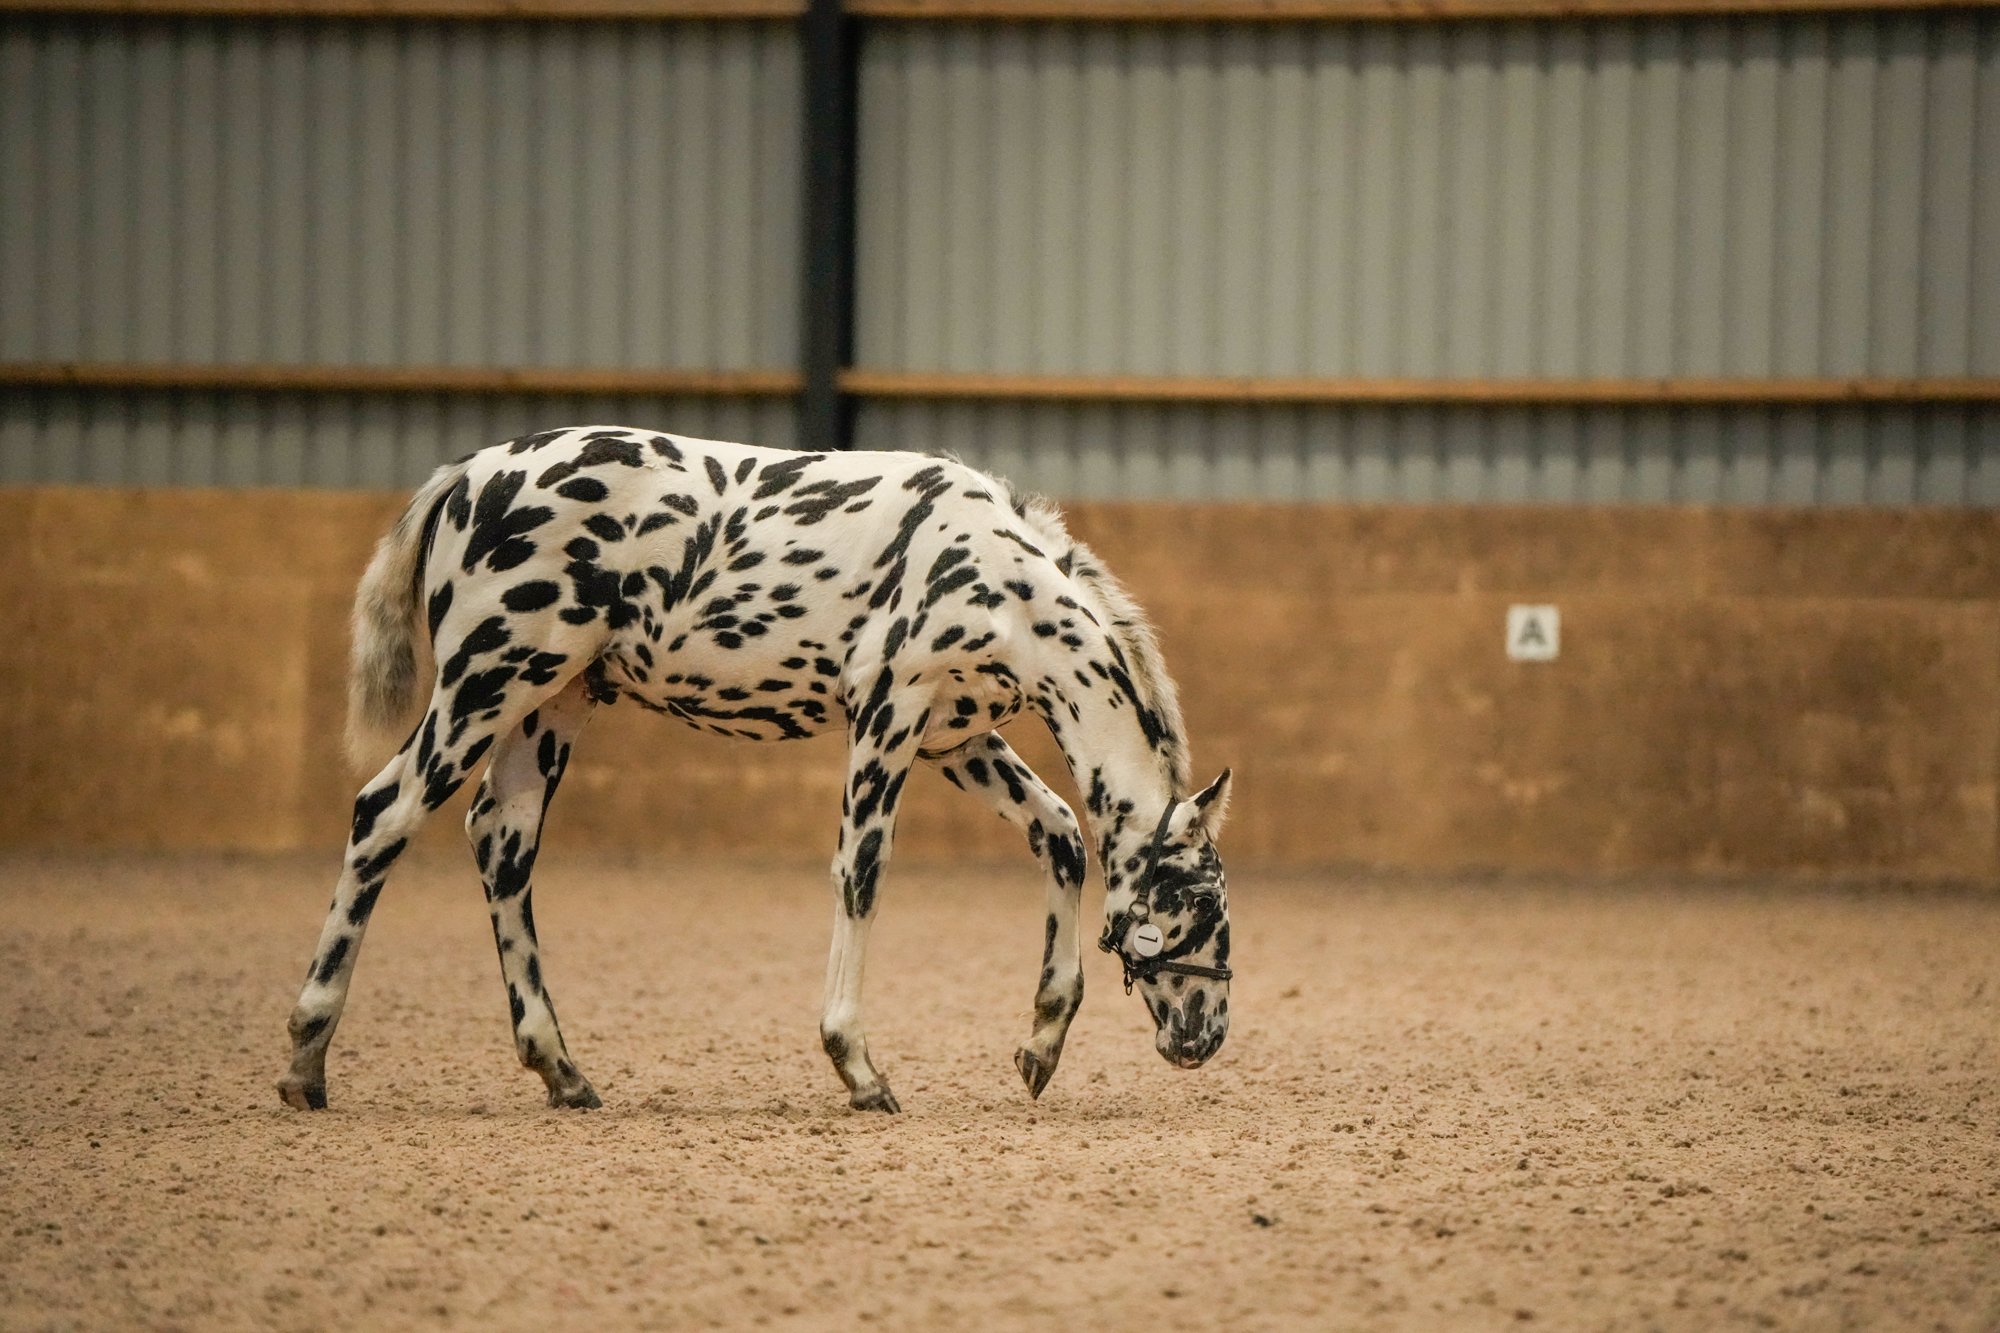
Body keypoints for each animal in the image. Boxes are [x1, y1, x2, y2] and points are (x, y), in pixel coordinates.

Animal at [278, 426, 1234, 1114]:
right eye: (1196, 900)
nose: (1207, 1034)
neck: (1001, 580)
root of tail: (470, 473)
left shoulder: (955, 741)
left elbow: (1062, 835)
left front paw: (1040, 1044)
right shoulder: (888, 717)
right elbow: (862, 875)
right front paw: (858, 1066)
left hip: (550, 704)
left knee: (501, 847)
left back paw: (561, 1070)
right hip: (486, 685)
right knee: (384, 814)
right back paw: (307, 1056)